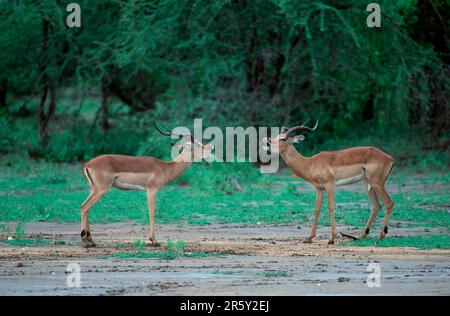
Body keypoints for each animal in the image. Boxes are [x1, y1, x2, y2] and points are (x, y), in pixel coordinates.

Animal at [80, 122, 214, 248]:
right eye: (198, 145)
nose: (211, 149)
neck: (165, 168)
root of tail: (88, 164)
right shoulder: (151, 190)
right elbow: (152, 212)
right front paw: (154, 241)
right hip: (101, 189)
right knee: (85, 207)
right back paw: (86, 241)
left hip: (93, 189)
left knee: (85, 208)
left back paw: (91, 241)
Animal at [264, 121, 394, 244]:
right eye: (277, 136)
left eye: (283, 139)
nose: (267, 142)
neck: (310, 163)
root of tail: (390, 158)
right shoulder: (319, 188)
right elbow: (317, 209)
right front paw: (309, 238)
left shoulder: (329, 185)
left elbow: (330, 206)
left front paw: (332, 238)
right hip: (367, 184)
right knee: (376, 206)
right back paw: (362, 236)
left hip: (377, 183)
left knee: (389, 203)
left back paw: (381, 236)